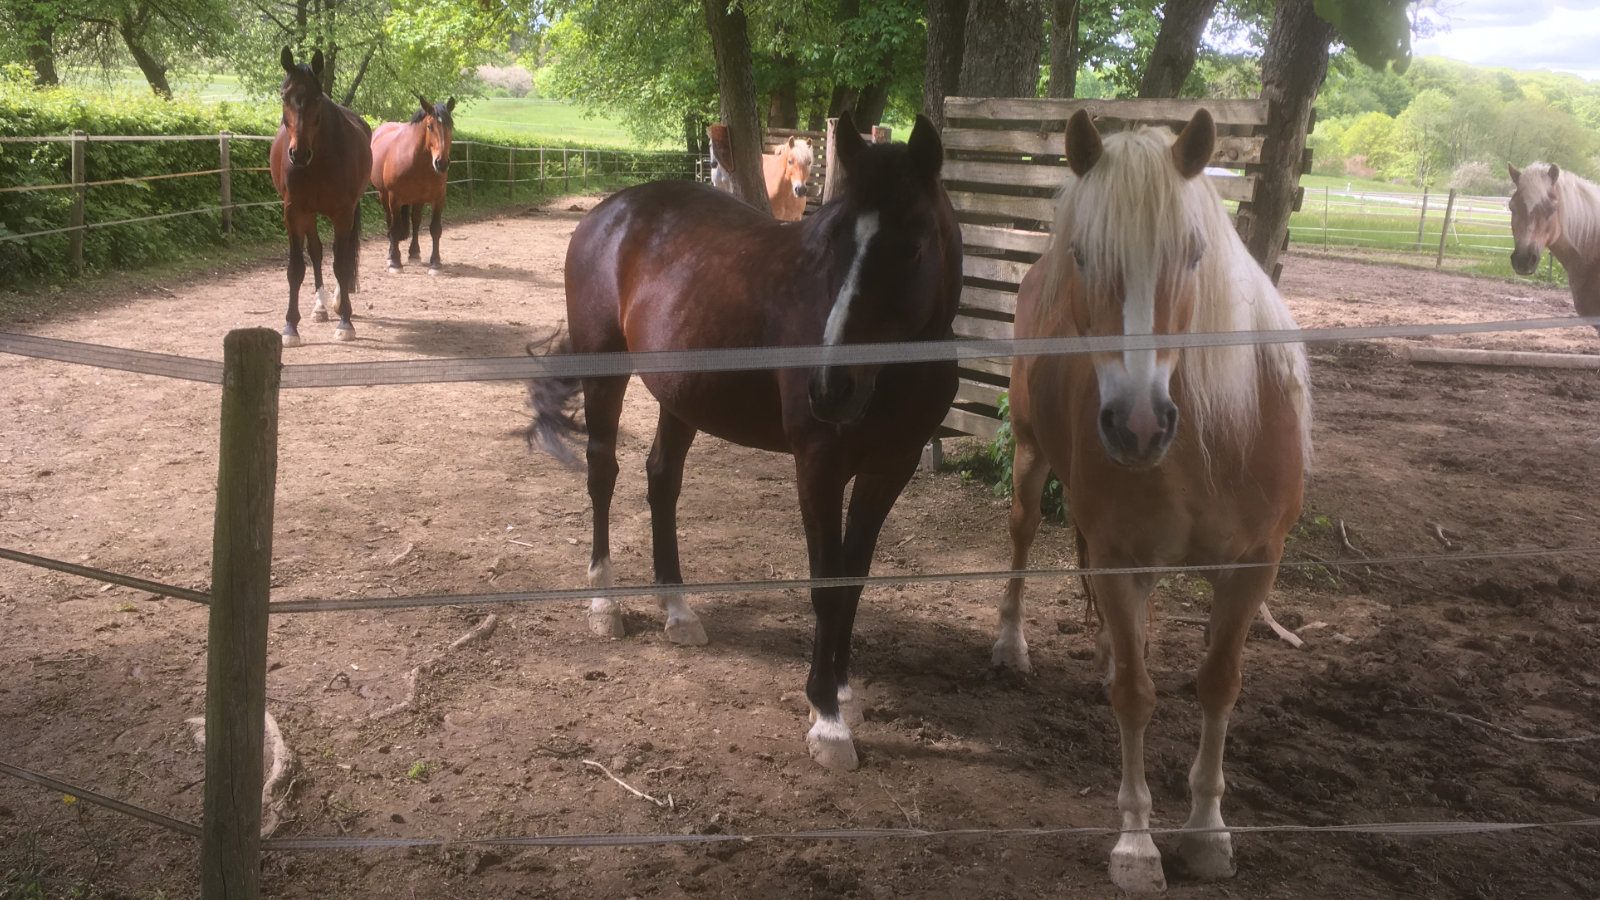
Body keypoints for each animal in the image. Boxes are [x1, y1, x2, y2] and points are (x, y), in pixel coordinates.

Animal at [269, 47, 372, 346]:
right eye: (284, 95)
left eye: (316, 97)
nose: (299, 153)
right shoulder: (293, 211)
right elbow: (296, 269)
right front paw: (290, 327)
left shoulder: (343, 213)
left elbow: (342, 264)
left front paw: (346, 322)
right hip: (309, 213)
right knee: (316, 252)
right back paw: (321, 306)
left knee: (343, 254)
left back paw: (337, 303)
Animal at [371, 95, 456, 275]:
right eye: (430, 126)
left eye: (450, 126)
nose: (441, 163)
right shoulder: (394, 198)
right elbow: (395, 228)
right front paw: (395, 263)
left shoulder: (438, 199)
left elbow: (435, 229)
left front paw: (435, 263)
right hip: (383, 195)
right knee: (390, 222)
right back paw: (391, 255)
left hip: (418, 199)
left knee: (416, 222)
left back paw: (414, 253)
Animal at [525, 113, 962, 772]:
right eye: (831, 248)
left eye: (910, 247)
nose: (830, 387)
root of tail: (612, 210)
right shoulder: (818, 466)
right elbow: (826, 585)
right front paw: (826, 719)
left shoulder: (891, 469)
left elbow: (853, 582)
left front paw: (842, 692)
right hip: (606, 374)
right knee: (603, 474)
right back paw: (605, 604)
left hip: (682, 395)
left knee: (662, 480)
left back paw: (678, 611)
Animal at [995, 109, 1311, 893]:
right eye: (1084, 255)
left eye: (1193, 254)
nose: (1138, 425)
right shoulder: (1116, 558)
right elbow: (1137, 699)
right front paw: (1137, 845)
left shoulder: (1252, 569)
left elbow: (1218, 684)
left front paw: (1206, 833)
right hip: (1029, 456)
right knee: (1021, 534)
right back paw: (1011, 644)